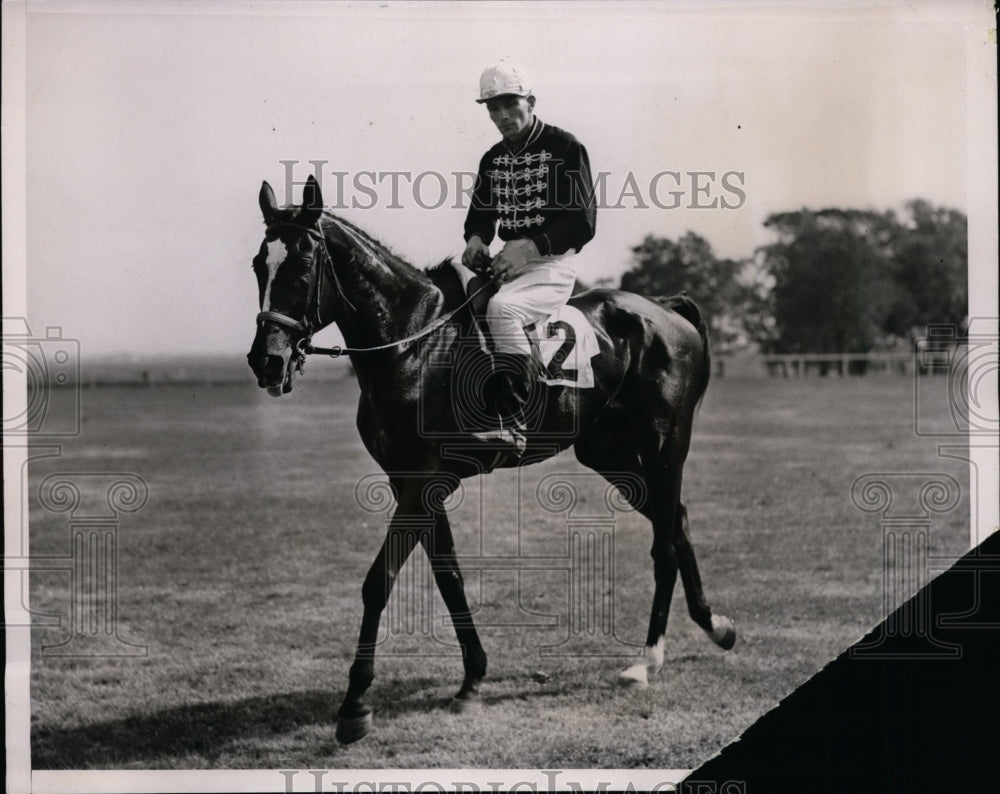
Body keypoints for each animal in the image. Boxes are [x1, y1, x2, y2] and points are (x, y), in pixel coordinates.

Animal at [247, 173, 740, 744]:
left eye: (304, 264)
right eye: (259, 264)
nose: (267, 361)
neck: (414, 344)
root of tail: (663, 308)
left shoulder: (420, 482)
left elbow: (379, 581)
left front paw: (354, 705)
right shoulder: (411, 482)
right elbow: (449, 576)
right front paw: (472, 679)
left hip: (665, 444)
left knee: (666, 536)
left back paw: (651, 658)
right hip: (610, 451)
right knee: (675, 520)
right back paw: (712, 629)